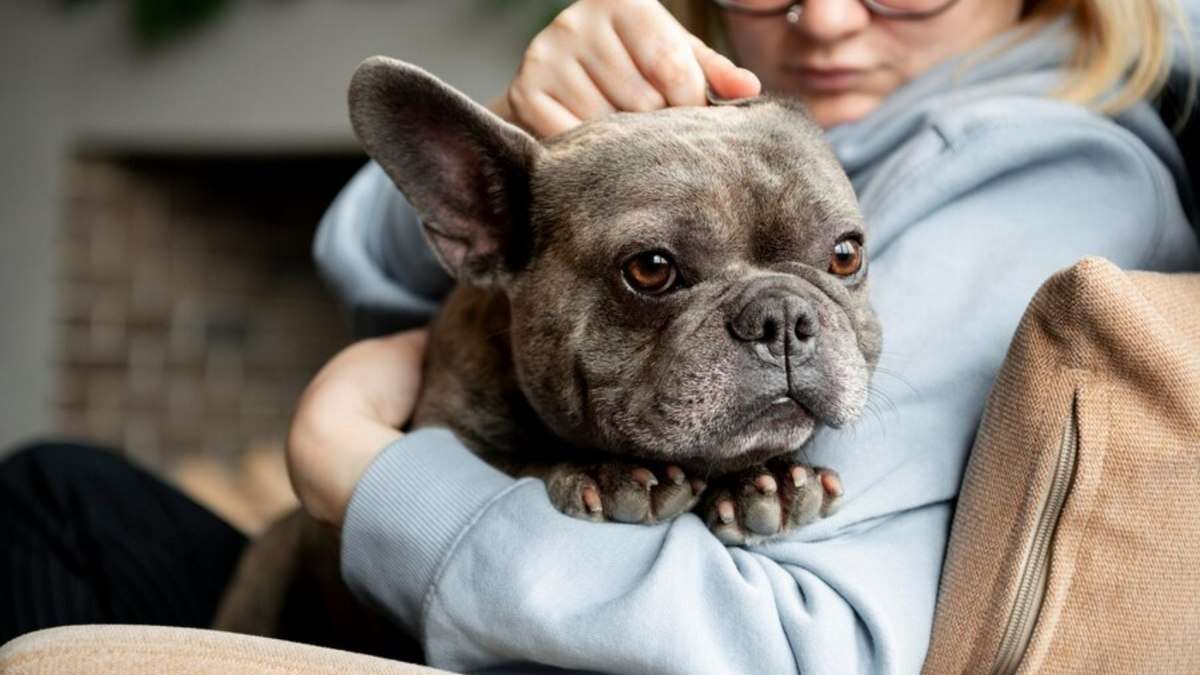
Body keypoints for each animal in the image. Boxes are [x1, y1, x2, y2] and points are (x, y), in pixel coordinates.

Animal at [213, 55, 883, 653]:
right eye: (651, 269)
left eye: (845, 255)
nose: (782, 315)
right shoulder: (450, 428)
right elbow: (520, 460)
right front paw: (608, 473)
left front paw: (767, 479)